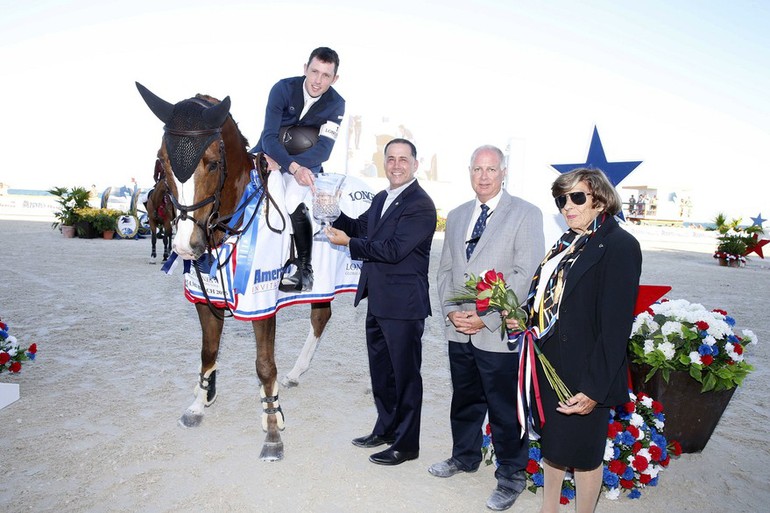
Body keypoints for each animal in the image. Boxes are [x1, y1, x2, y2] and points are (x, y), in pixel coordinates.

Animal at [137, 81, 330, 460]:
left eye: (212, 164)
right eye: (163, 162)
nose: (186, 246)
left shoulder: (261, 304)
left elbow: (264, 366)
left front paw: (272, 429)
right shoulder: (204, 298)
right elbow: (208, 352)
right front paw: (199, 402)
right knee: (320, 317)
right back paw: (297, 372)